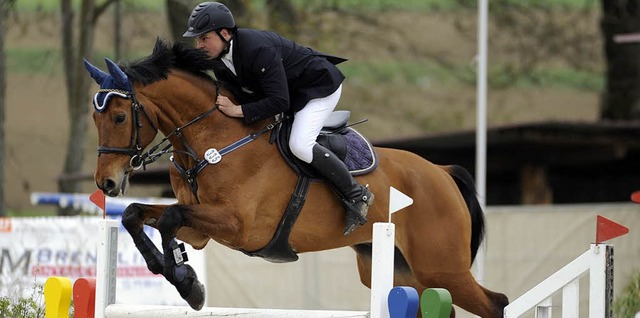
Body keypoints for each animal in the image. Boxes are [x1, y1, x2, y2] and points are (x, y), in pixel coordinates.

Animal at [84, 38, 510, 316]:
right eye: (94, 118)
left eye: (119, 117)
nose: (106, 184)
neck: (210, 140)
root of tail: (441, 172)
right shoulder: (201, 228)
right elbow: (138, 215)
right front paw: (182, 276)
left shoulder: (238, 225)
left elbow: (169, 217)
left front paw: (186, 281)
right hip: (401, 271)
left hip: (442, 267)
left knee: (496, 303)